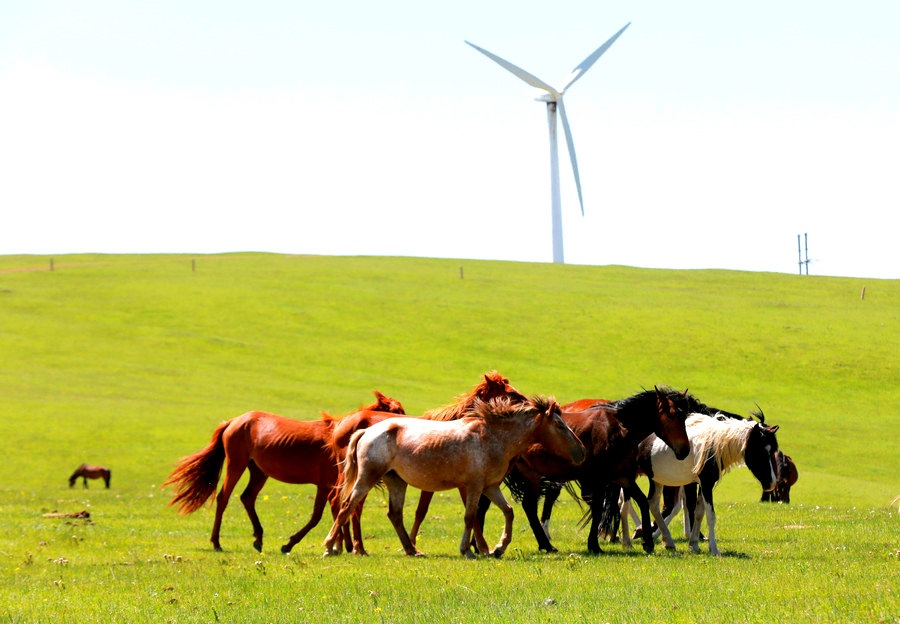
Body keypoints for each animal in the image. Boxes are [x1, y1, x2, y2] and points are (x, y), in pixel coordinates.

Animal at [163, 390, 405, 553]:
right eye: (396, 411)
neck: (340, 436)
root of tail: (234, 421)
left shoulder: (328, 486)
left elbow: (337, 513)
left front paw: (342, 546)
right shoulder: (327, 485)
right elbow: (324, 515)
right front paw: (298, 544)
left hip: (258, 472)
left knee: (247, 497)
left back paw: (258, 538)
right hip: (236, 465)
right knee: (223, 498)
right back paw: (216, 542)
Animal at [322, 395, 585, 559]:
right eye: (560, 426)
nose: (581, 451)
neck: (491, 437)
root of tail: (366, 430)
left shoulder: (490, 487)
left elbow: (508, 512)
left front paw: (498, 548)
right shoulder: (474, 486)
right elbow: (471, 517)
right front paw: (468, 550)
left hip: (396, 481)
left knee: (394, 514)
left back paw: (412, 550)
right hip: (367, 478)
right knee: (346, 507)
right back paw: (328, 547)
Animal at [499, 387, 697, 554]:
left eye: (685, 416)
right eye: (671, 415)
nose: (684, 449)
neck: (618, 429)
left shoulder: (623, 477)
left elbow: (641, 501)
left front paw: (647, 541)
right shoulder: (599, 479)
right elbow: (598, 509)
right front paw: (594, 544)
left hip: (531, 475)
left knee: (529, 506)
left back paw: (546, 545)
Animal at [621, 412, 780, 555]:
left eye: (773, 451)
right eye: (760, 451)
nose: (772, 483)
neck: (712, 446)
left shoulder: (703, 485)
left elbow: (698, 513)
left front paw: (694, 545)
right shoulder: (706, 484)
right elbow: (710, 516)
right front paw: (714, 549)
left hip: (656, 479)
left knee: (652, 504)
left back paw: (668, 542)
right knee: (625, 506)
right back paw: (628, 541)